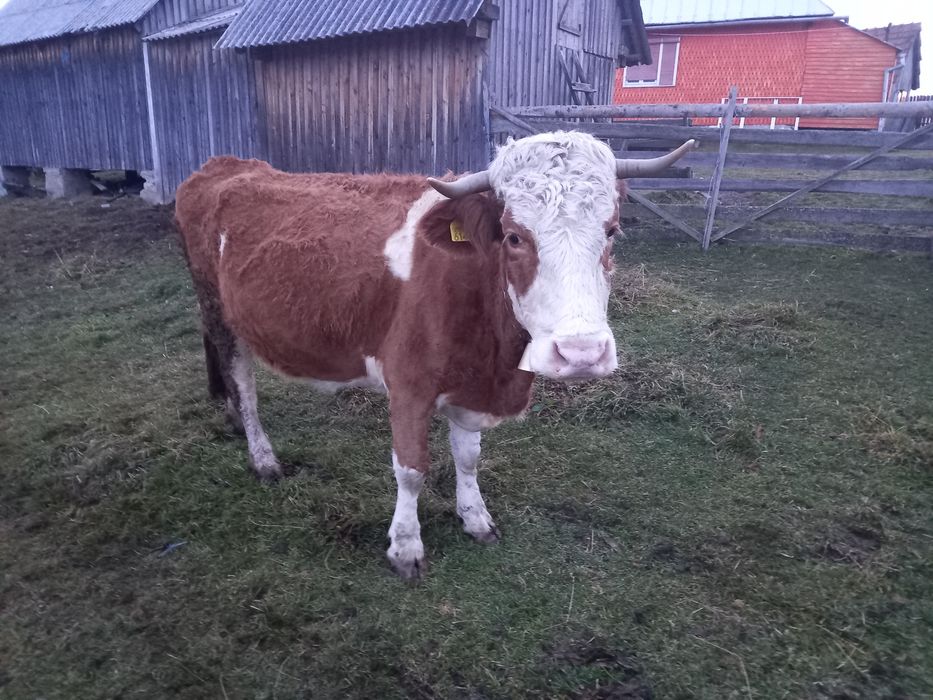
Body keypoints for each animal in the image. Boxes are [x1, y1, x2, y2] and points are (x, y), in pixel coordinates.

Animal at [175, 131, 694, 578]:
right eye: (514, 237)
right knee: (244, 384)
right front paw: (405, 547)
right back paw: (261, 455)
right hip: (221, 311)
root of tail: (224, 165)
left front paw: (475, 517)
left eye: (611, 230)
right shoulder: (408, 384)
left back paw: (228, 416)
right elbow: (411, 470)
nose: (581, 353)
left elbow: (467, 458)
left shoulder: (471, 386)